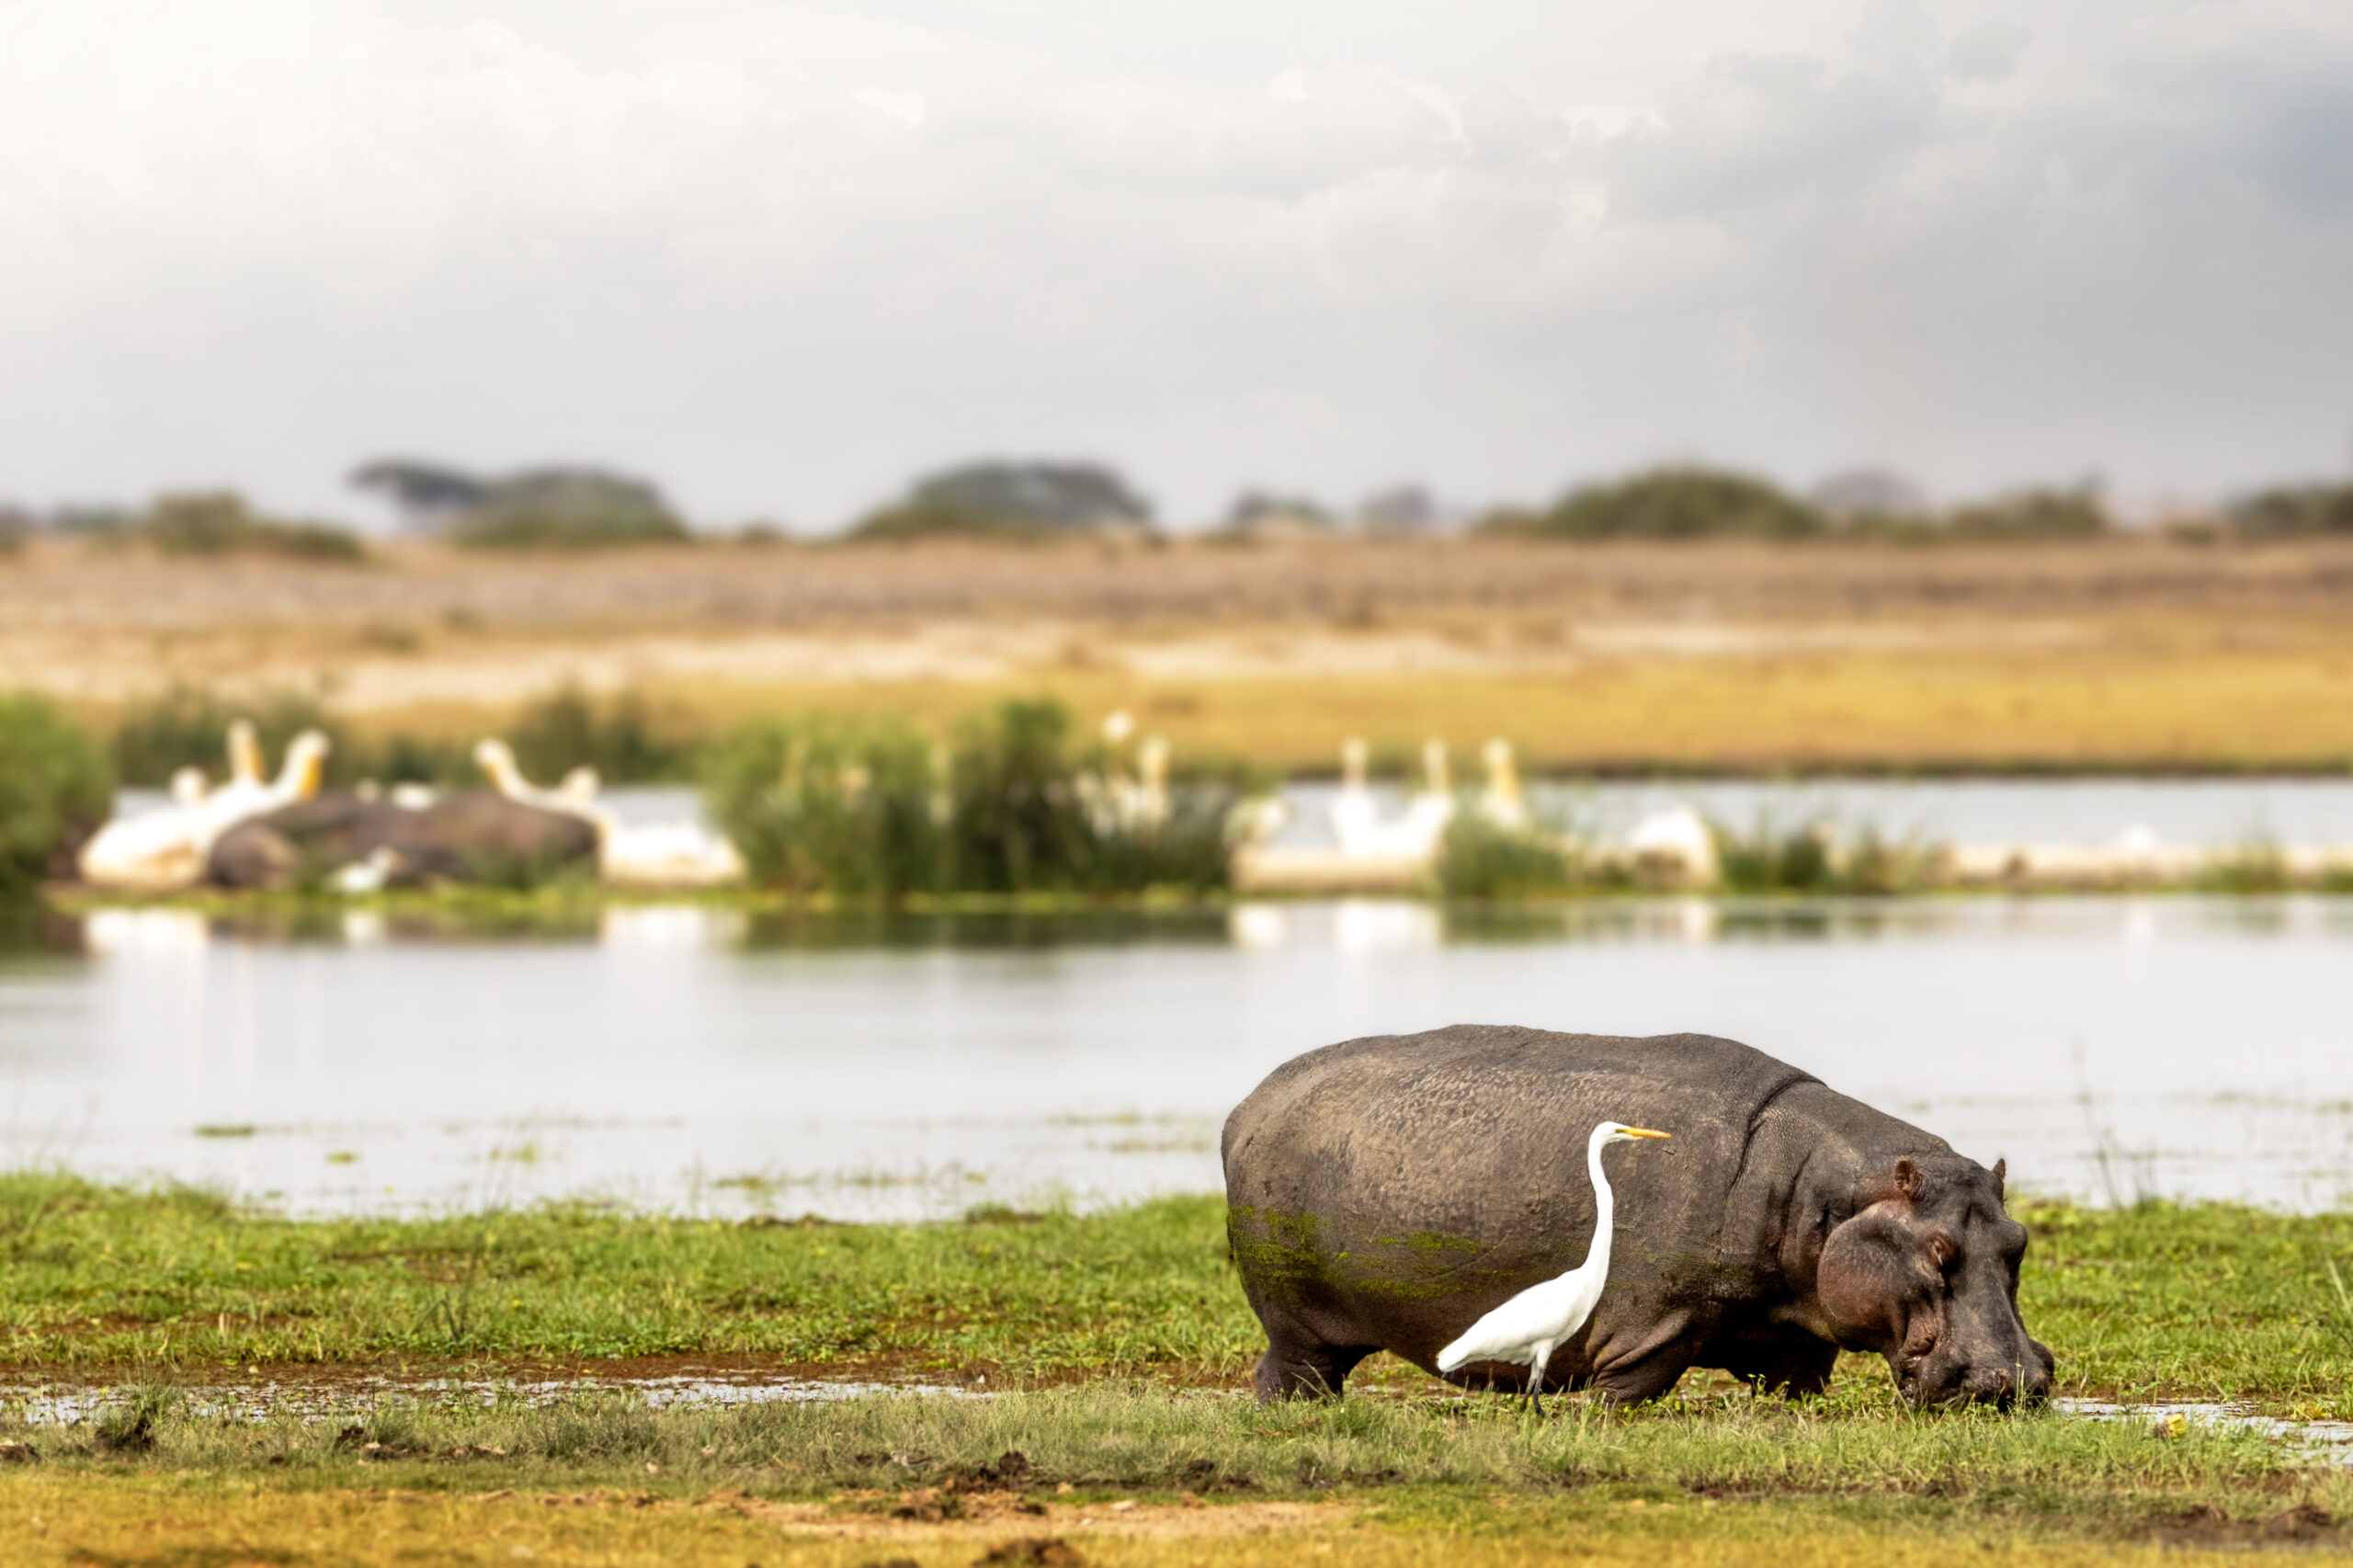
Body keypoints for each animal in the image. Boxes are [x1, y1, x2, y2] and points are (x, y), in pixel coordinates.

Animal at [1223, 1025, 2052, 1409]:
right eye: (1938, 1249)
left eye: (2019, 1241)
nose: (2013, 1381)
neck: (1828, 1191)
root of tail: (1248, 1103)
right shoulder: (1650, 1325)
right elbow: (1627, 1388)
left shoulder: (1796, 1343)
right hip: (1298, 1328)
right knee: (1289, 1374)